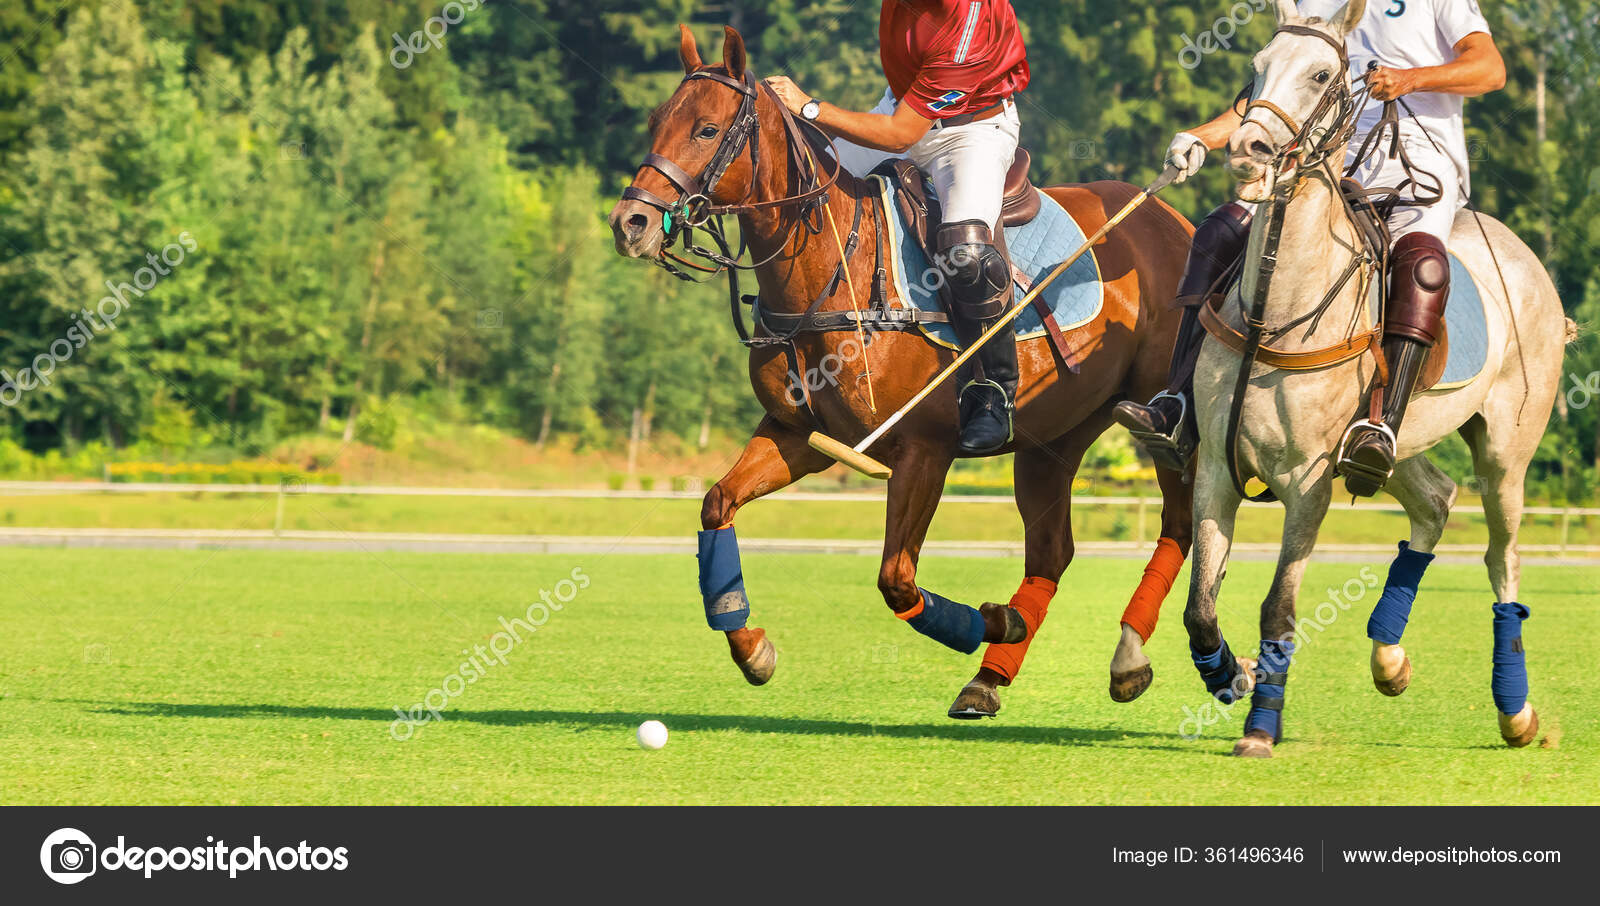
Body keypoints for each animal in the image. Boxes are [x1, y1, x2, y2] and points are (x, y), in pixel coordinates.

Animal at [611, 26, 1203, 717]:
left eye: (706, 129)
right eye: (656, 120)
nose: (630, 223)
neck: (830, 268)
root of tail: (1177, 221)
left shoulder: (924, 448)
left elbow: (896, 579)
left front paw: (993, 620)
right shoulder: (799, 434)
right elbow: (716, 504)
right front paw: (752, 648)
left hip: (1159, 413)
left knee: (1180, 522)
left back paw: (1128, 657)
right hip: (1053, 437)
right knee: (1053, 550)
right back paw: (987, 681)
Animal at [1184, 1, 1568, 758]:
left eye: (1321, 74)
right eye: (1257, 66)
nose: (1248, 151)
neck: (1276, 311)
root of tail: (1528, 260)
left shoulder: (1306, 481)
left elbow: (1279, 606)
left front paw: (1260, 728)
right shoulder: (1215, 465)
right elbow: (1201, 605)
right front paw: (1230, 675)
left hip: (1507, 450)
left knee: (1501, 557)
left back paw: (1516, 711)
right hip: (1394, 439)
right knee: (1434, 500)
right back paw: (1389, 657)